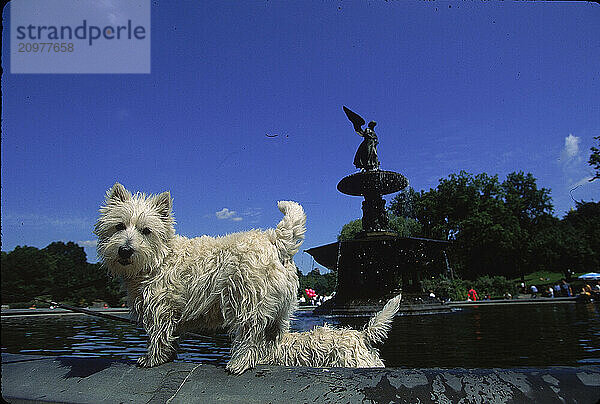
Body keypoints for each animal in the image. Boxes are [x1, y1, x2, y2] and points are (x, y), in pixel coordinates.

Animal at [97, 183, 310, 372]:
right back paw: (263, 359)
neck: (159, 258)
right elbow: (171, 336)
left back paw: (238, 363)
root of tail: (275, 242)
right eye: (119, 226)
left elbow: (158, 335)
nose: (125, 250)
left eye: (146, 230)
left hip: (247, 301)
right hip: (281, 312)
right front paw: (168, 356)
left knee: (250, 335)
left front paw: (152, 358)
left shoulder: (160, 307)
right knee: (272, 338)